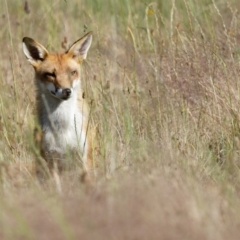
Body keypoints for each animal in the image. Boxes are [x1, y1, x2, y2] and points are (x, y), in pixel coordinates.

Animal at [22, 32, 94, 176]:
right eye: (50, 74)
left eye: (72, 72)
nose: (67, 91)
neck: (63, 127)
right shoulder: (50, 159)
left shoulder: (84, 157)